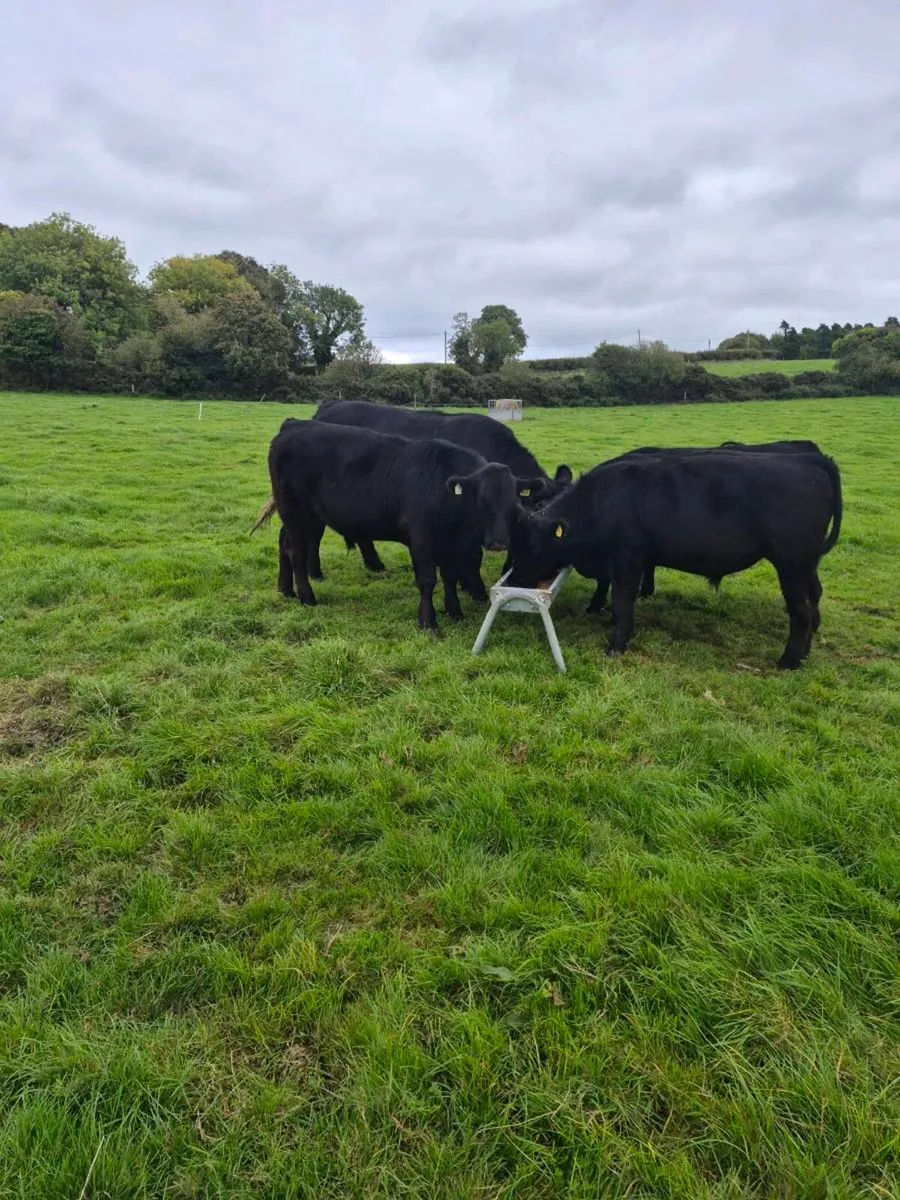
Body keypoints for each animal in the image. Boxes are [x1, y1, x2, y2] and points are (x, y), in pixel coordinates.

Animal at [260, 420, 542, 630]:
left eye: (513, 503)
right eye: (481, 501)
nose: (498, 542)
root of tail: (292, 428)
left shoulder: (452, 544)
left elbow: (450, 577)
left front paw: (454, 610)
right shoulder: (421, 539)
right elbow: (428, 579)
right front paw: (428, 621)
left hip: (306, 516)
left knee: (284, 543)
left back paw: (285, 589)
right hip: (295, 511)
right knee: (295, 551)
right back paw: (307, 596)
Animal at [509, 448, 842, 668]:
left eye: (533, 546)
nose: (514, 579)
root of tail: (806, 458)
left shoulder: (627, 561)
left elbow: (622, 600)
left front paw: (616, 645)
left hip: (792, 564)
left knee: (802, 612)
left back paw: (788, 661)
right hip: (806, 565)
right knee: (814, 600)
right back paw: (804, 654)